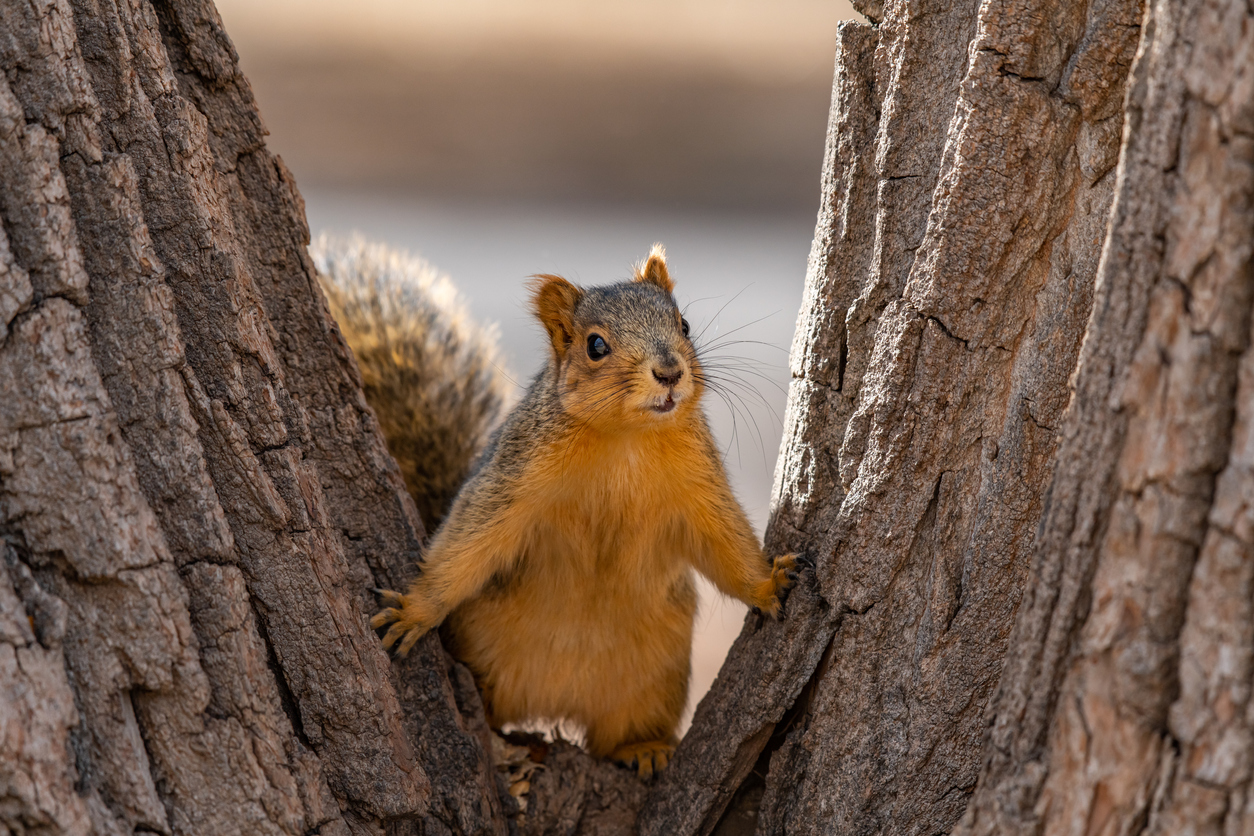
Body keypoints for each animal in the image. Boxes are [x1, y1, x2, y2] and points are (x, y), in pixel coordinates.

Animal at [318, 235, 797, 777]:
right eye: (595, 346)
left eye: (684, 324)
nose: (670, 372)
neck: (627, 440)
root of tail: (558, 703)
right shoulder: (514, 477)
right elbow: (469, 541)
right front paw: (416, 610)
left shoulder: (698, 485)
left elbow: (724, 540)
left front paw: (768, 583)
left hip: (655, 680)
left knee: (621, 733)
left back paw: (643, 747)